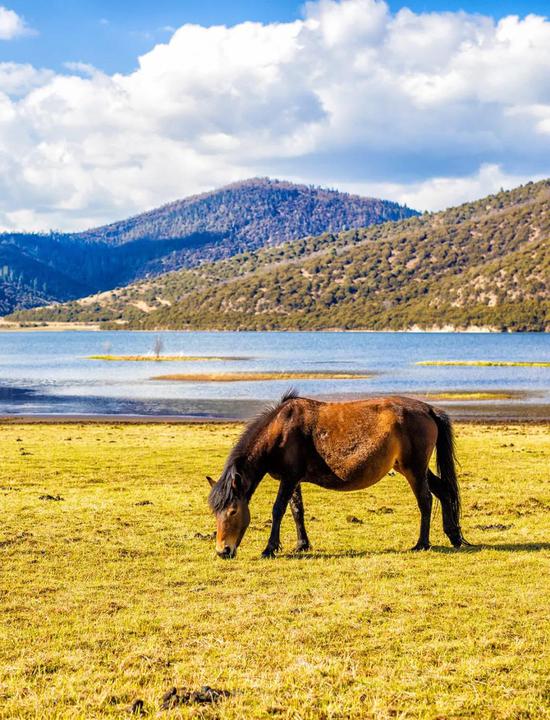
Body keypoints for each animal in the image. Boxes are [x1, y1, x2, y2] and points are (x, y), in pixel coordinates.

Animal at [208, 390, 470, 560]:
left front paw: (270, 548)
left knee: (426, 501)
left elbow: (278, 510)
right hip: (416, 469)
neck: (279, 430)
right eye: (215, 512)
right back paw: (454, 537)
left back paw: (421, 544)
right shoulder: (293, 480)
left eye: (232, 511)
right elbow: (297, 510)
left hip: (414, 469)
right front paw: (302, 545)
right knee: (444, 492)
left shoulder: (289, 478)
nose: (223, 551)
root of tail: (428, 409)